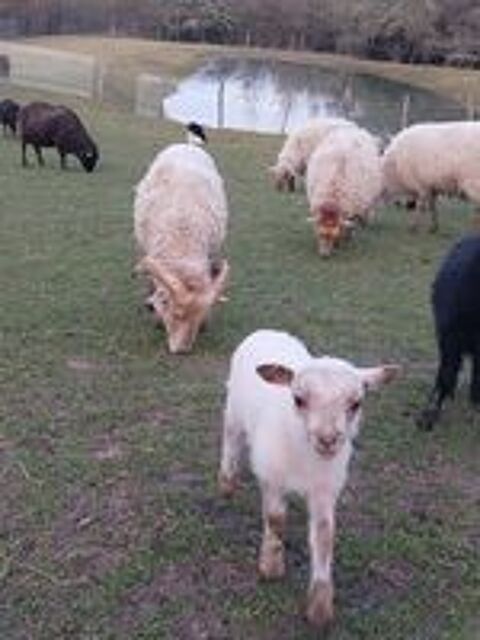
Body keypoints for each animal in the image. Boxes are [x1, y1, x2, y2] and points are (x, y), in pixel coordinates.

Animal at [219, 329, 400, 627]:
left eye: (356, 403)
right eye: (298, 399)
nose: (328, 440)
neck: (306, 458)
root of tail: (267, 330)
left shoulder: (325, 490)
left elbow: (324, 535)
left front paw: (320, 605)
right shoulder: (272, 477)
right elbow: (275, 519)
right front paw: (271, 566)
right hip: (233, 411)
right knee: (231, 443)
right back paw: (226, 484)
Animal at [306, 125, 383, 256]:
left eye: (334, 236)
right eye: (320, 234)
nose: (324, 256)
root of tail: (355, 129)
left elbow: (349, 226)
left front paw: (343, 241)